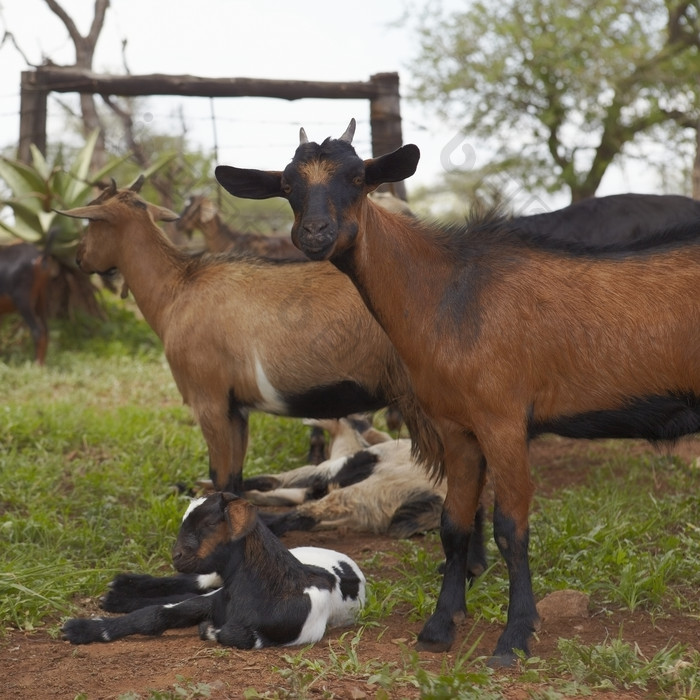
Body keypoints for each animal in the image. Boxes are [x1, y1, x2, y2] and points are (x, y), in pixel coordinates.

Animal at [213, 119, 700, 668]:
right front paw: (441, 625)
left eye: (358, 178)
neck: (448, 294)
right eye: (288, 184)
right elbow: (454, 523)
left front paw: (515, 637)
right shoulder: (456, 425)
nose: (315, 233)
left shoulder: (503, 420)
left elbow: (511, 528)